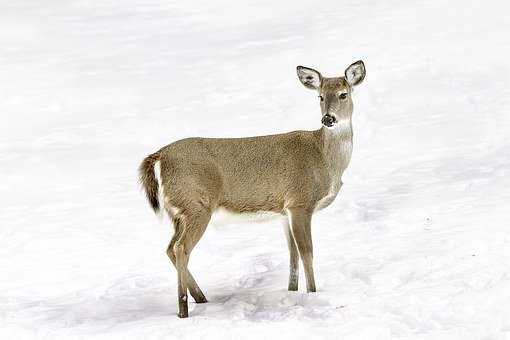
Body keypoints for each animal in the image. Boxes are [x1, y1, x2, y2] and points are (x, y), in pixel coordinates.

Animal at [137, 59, 364, 318]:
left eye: (343, 94)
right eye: (320, 96)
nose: (328, 119)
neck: (325, 159)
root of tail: (160, 155)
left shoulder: (284, 210)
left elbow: (292, 253)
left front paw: (292, 291)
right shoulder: (300, 202)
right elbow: (307, 252)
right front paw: (313, 293)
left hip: (178, 212)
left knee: (169, 248)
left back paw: (201, 298)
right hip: (196, 205)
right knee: (181, 248)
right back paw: (184, 309)